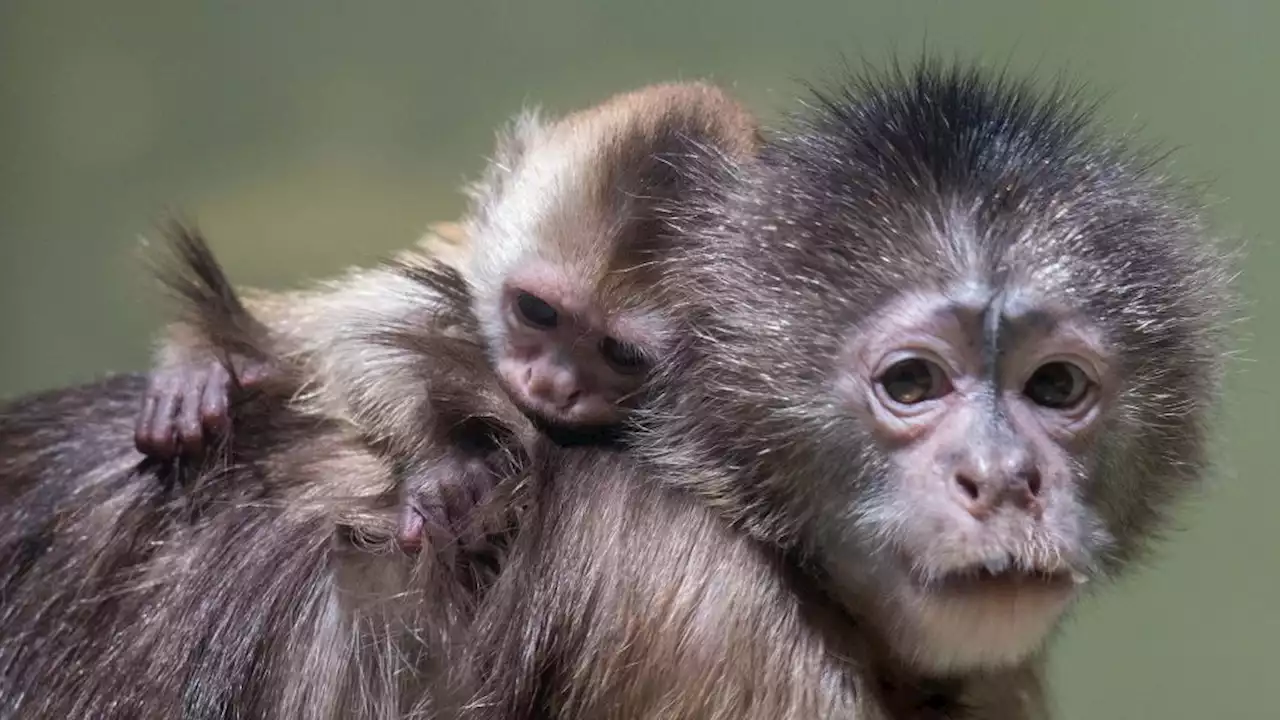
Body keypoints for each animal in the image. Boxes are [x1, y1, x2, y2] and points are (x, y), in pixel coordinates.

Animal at [136, 82, 762, 543]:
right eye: (536, 311)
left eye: (620, 353)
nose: (551, 384)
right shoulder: (458, 266)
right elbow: (359, 340)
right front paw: (442, 466)